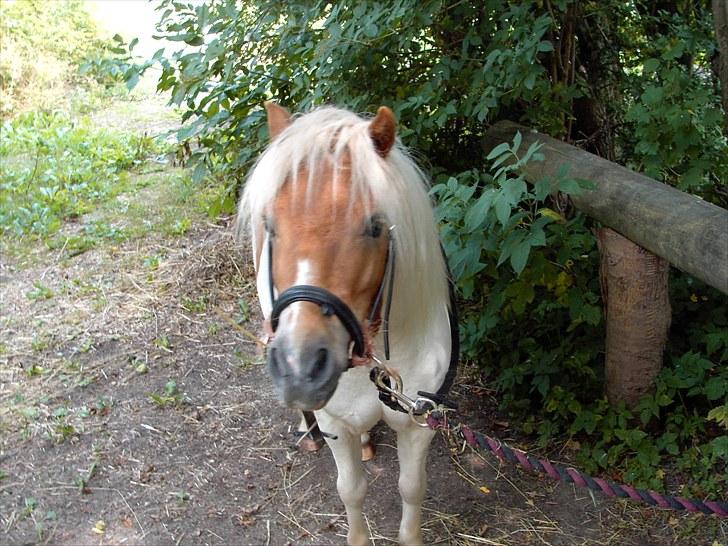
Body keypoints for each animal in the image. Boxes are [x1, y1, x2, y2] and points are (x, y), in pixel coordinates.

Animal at [237, 102, 456, 544]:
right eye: (270, 225)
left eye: (374, 226)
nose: (300, 368)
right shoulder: (334, 422)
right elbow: (351, 489)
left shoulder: (420, 423)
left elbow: (412, 488)